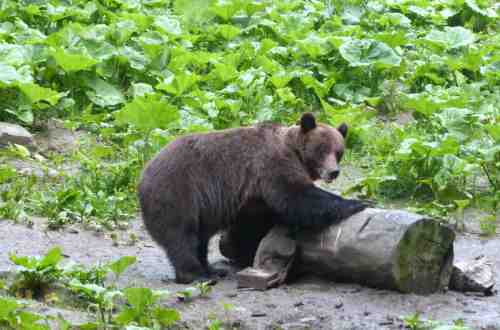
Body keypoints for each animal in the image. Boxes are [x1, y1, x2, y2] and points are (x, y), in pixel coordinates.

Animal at [139, 113, 370, 284]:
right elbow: (297, 197)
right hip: (178, 192)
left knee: (199, 239)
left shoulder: (253, 197)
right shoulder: (271, 166)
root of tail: (142, 175)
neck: (294, 152)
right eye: (322, 149)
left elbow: (254, 224)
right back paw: (195, 275)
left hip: (200, 207)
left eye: (338, 151)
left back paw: (211, 269)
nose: (334, 172)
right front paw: (359, 203)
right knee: (181, 235)